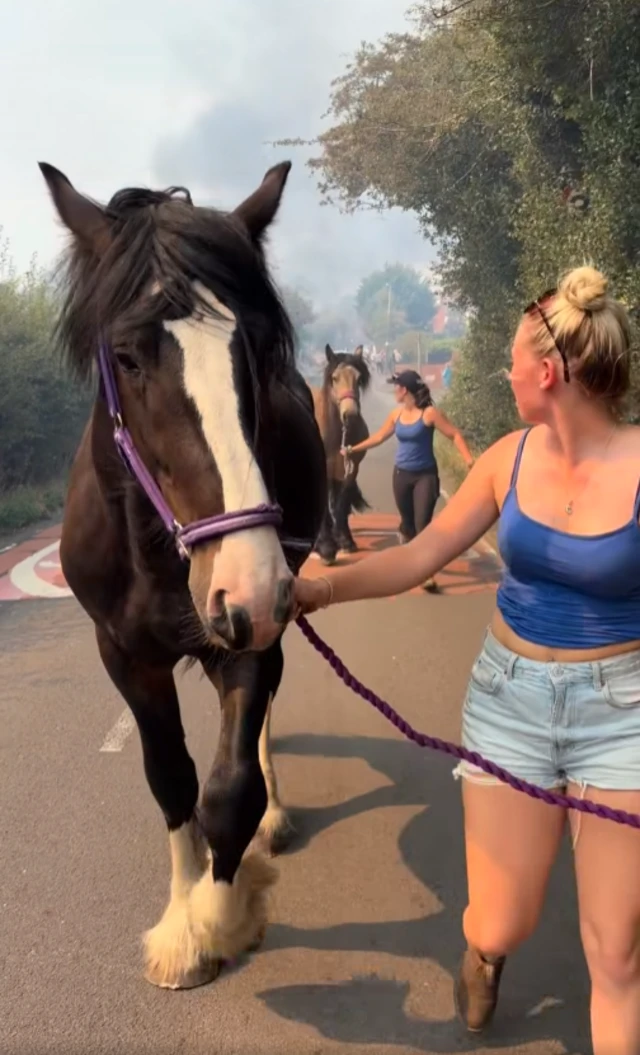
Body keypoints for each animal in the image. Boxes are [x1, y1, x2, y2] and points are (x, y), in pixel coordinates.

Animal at [38, 159, 327, 990]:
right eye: (128, 357)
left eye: (256, 349)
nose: (248, 582)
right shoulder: (124, 654)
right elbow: (170, 776)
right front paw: (180, 916)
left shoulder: (250, 631)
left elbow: (229, 788)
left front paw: (217, 916)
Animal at [310, 343, 371, 564]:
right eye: (334, 378)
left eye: (359, 379)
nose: (350, 416)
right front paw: (326, 547)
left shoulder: (350, 468)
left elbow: (341, 503)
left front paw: (345, 541)